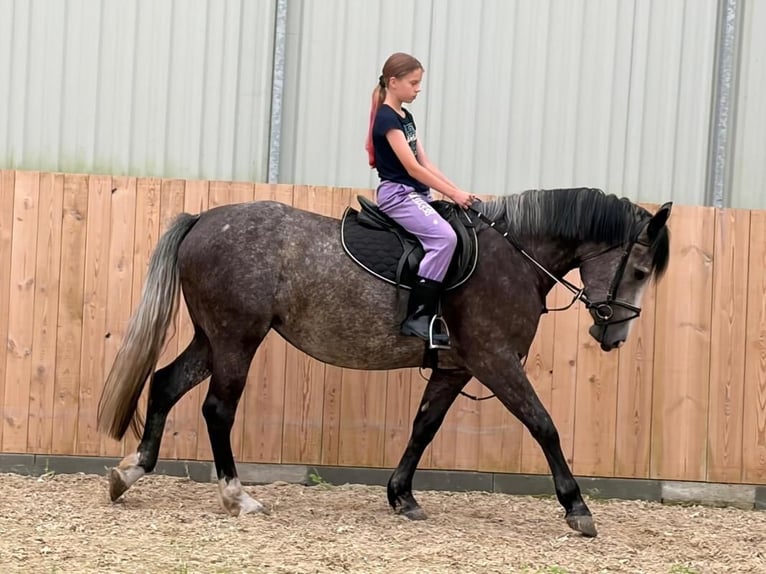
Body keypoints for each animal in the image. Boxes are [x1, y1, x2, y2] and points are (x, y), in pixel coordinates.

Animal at [97, 187, 671, 538]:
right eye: (639, 270)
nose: (613, 334)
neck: (513, 256)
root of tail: (203, 220)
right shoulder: (496, 360)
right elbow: (543, 425)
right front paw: (578, 509)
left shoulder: (455, 367)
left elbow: (424, 427)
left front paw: (402, 496)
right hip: (238, 338)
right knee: (217, 409)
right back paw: (237, 497)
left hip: (212, 337)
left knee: (165, 384)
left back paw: (130, 473)